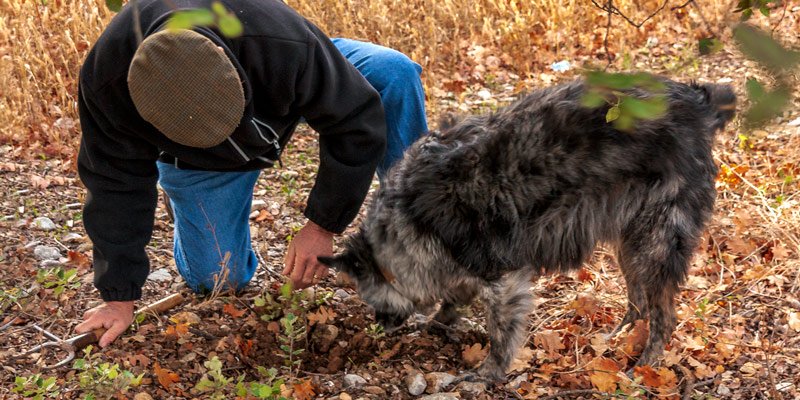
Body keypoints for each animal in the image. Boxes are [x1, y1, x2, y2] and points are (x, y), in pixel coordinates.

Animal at [318, 79, 736, 382]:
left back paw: (646, 364)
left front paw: (487, 372)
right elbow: (454, 298)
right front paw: (441, 323)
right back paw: (614, 339)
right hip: (630, 239)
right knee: (640, 302)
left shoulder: (501, 280)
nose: (381, 326)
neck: (409, 218)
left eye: (373, 300)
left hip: (656, 241)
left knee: (663, 316)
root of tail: (697, 102)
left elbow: (499, 332)